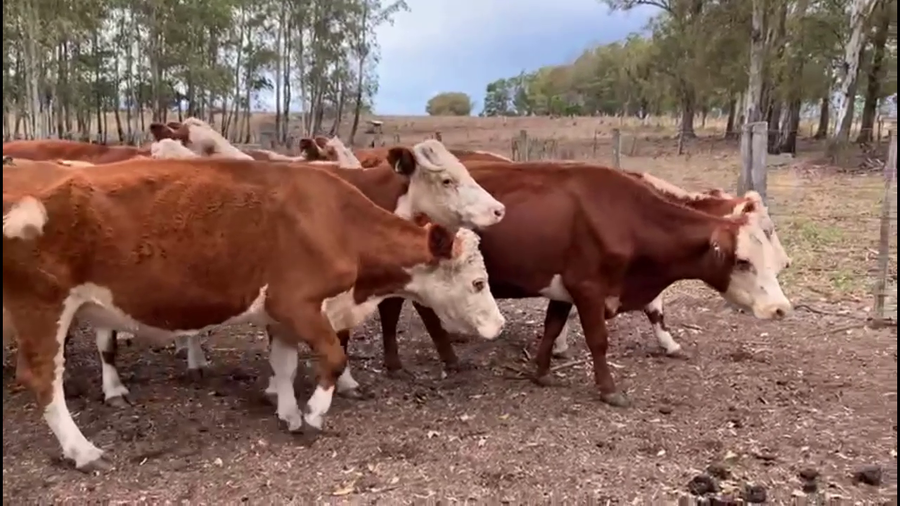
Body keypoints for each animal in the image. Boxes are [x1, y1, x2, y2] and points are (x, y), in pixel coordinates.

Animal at [2, 157, 506, 472]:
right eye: (478, 283)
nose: (499, 326)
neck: (335, 221)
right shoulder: (297, 304)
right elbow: (332, 357)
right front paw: (313, 415)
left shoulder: (280, 316)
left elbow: (283, 366)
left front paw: (288, 412)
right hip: (43, 305)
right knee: (43, 378)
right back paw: (82, 450)